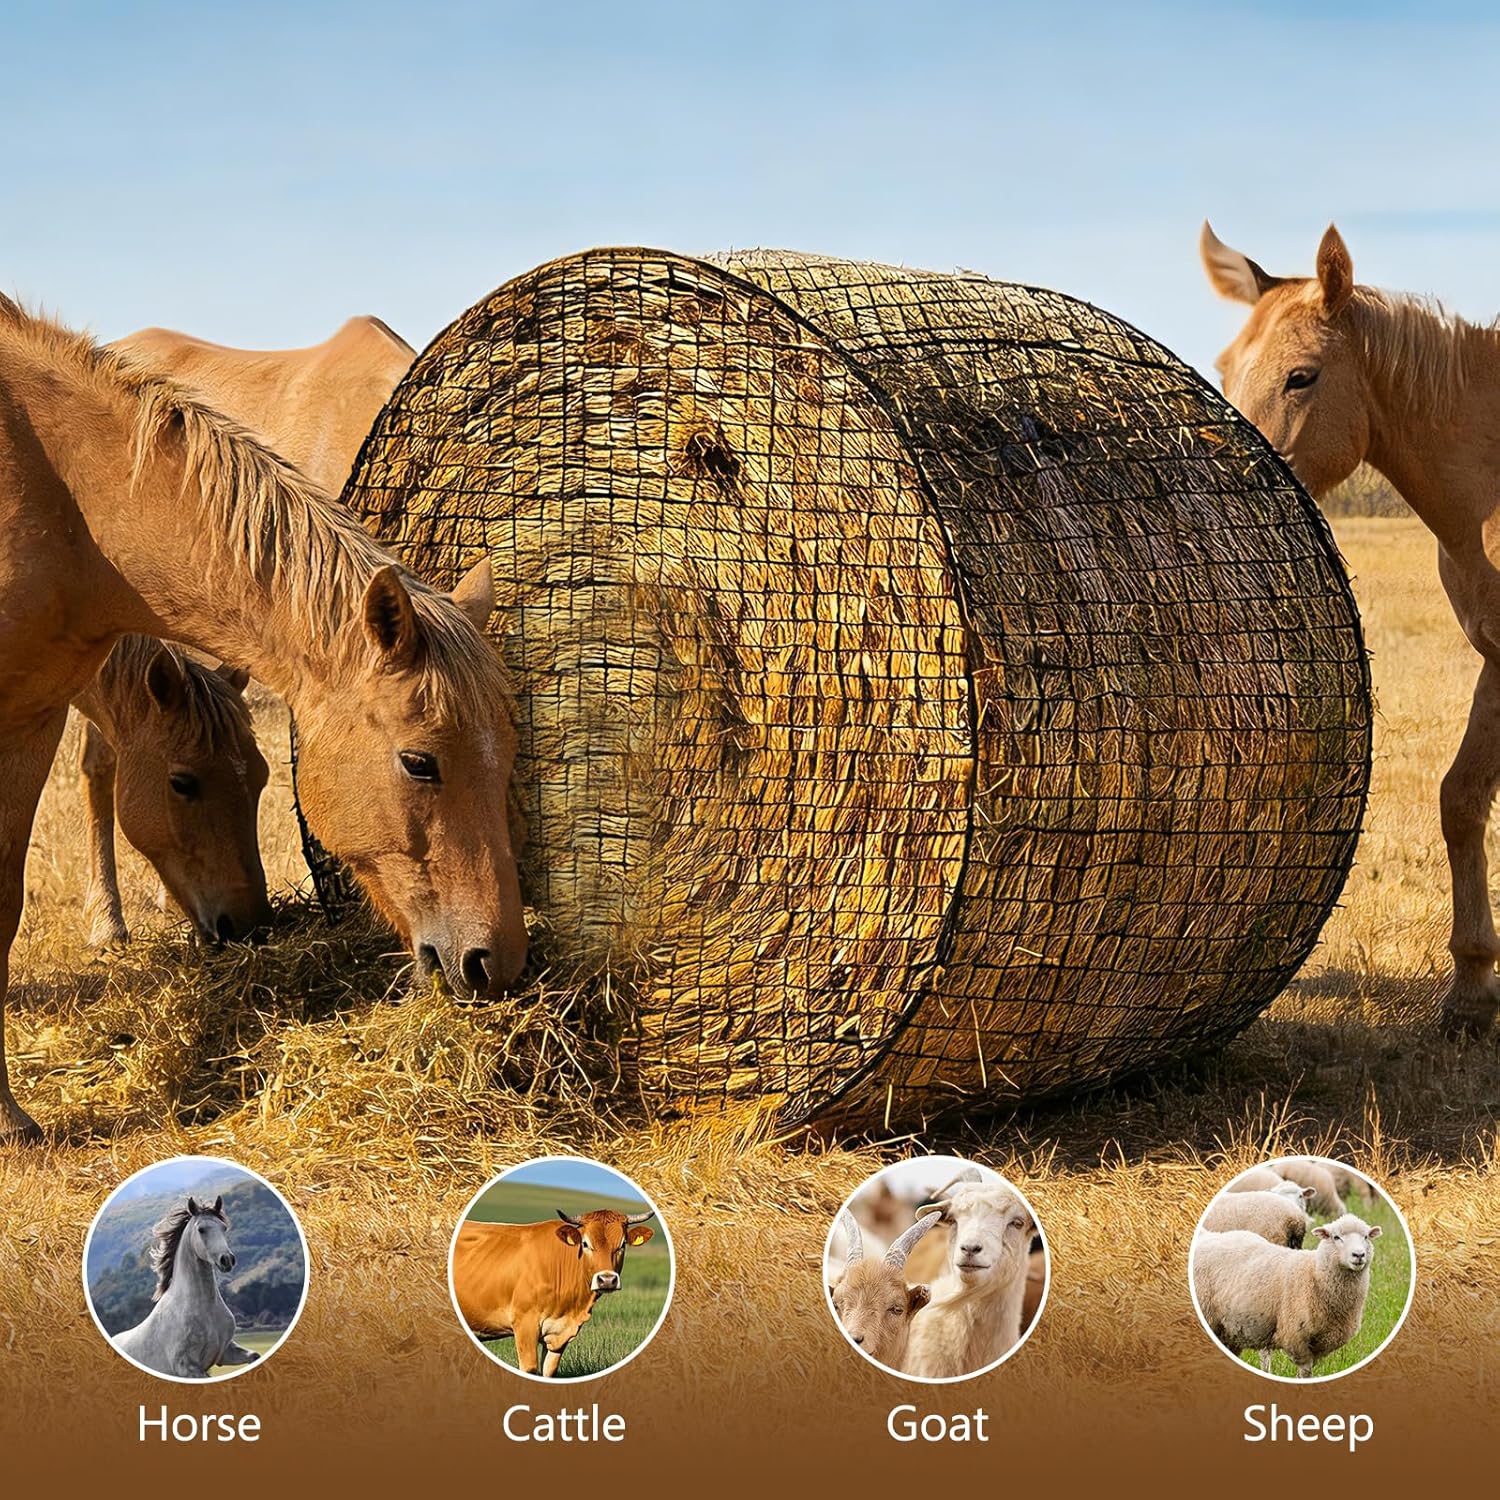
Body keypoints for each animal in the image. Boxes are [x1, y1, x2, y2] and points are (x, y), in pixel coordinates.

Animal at [112, 1195, 261, 1379]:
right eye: (201, 1230)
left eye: (224, 1228)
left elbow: (254, 1356)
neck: (205, 1310)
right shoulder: (187, 1367)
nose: (227, 1260)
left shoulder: (226, 1351)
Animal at [452, 1207, 656, 1376]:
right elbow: (530, 1369)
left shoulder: (559, 1334)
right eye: (585, 1244)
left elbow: (549, 1371)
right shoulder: (525, 1324)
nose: (606, 1280)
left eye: (623, 1244)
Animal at [1193, 1213, 1382, 1378]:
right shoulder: (1297, 1338)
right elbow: (1305, 1372)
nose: (1359, 1255)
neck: (1314, 1274)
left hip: (1229, 1332)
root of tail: (1207, 1236)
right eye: (1336, 1237)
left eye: (1366, 1237)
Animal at [1201, 220, 1500, 1038]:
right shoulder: (1498, 658)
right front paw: (1470, 988)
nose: (1229, 484)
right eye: (1225, 367)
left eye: (1301, 377)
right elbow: (1460, 801)